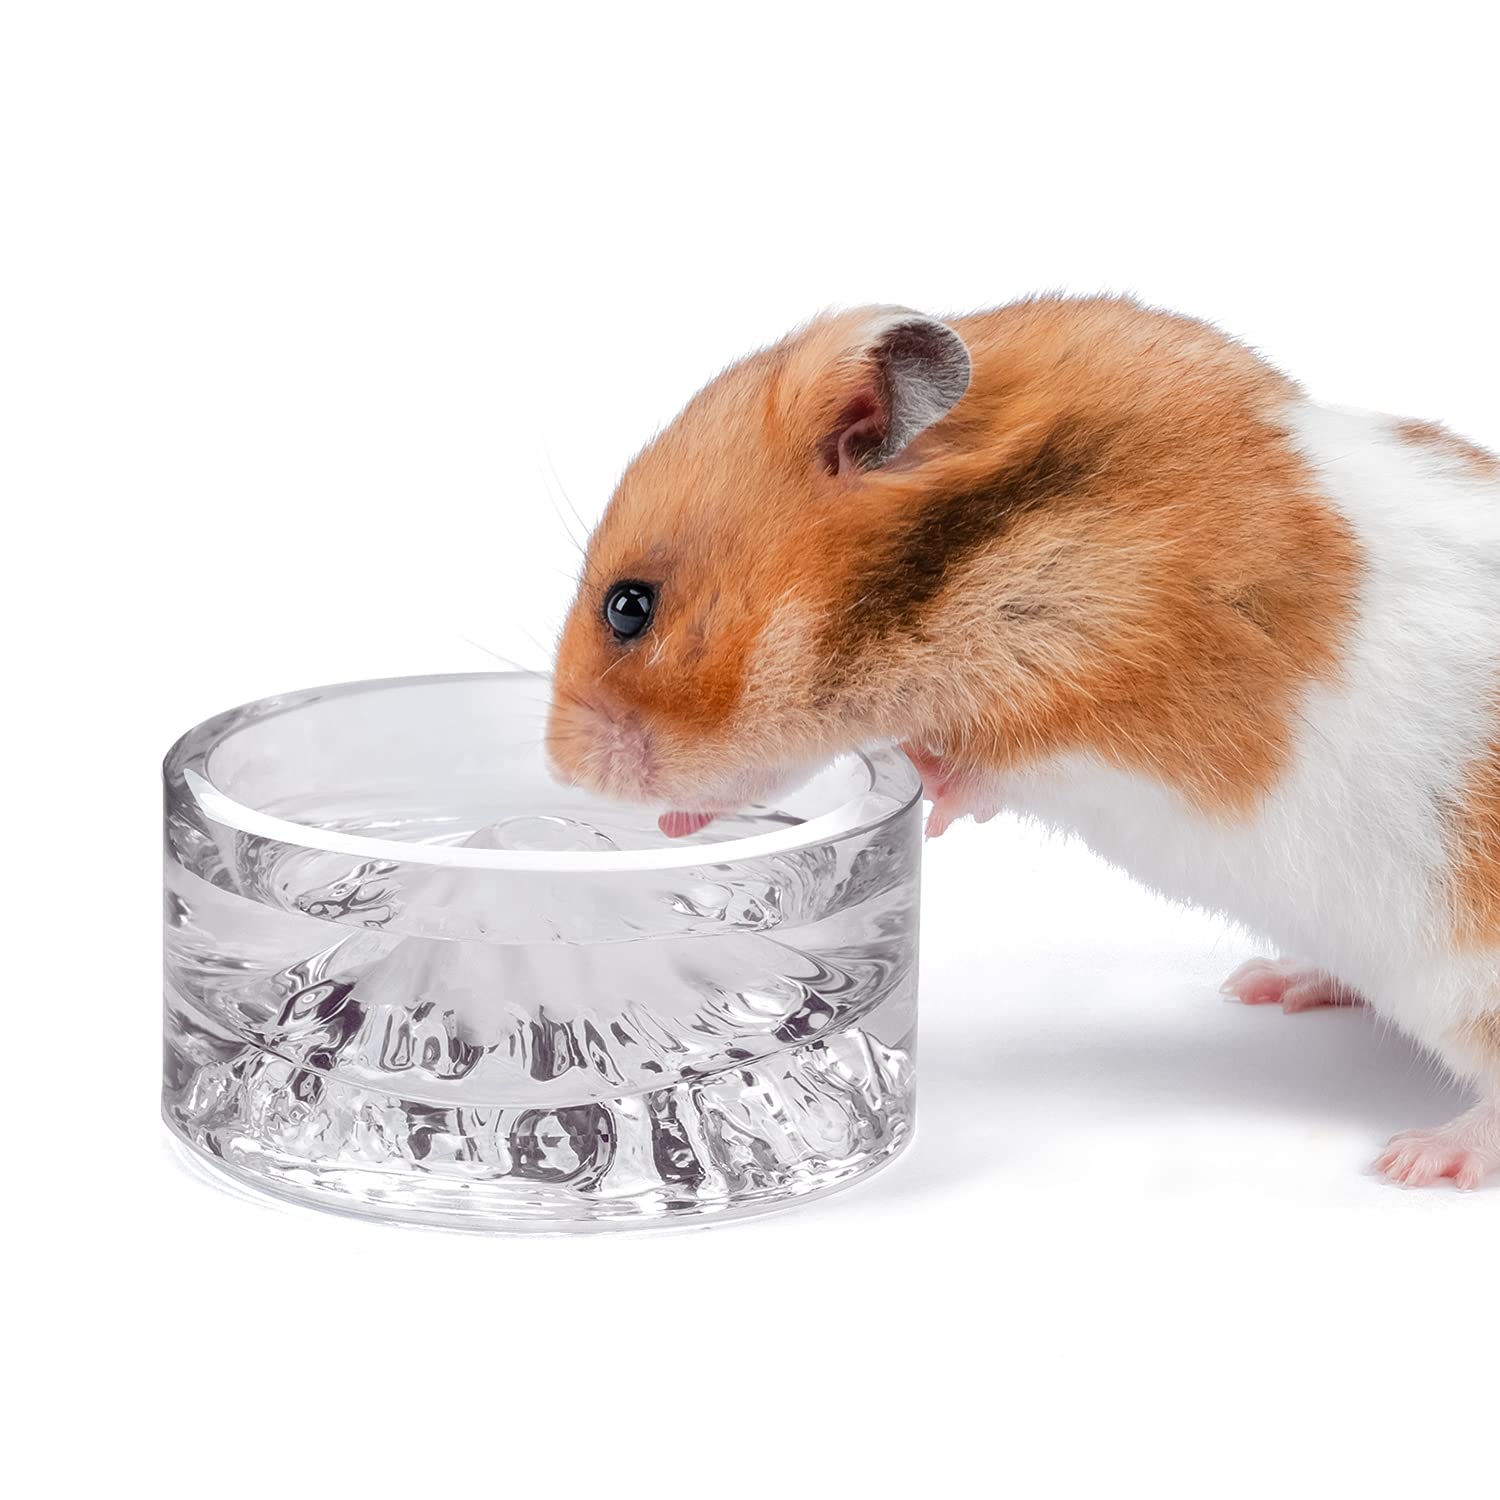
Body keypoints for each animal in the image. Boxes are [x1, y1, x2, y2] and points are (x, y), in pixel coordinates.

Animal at [546, 295, 1500, 1190]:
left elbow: (984, 768)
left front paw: (926, 797)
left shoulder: (1102, 694)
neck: (980, 548)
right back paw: (1270, 983)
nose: (560, 769)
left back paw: (1418, 1160)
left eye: (629, 607)